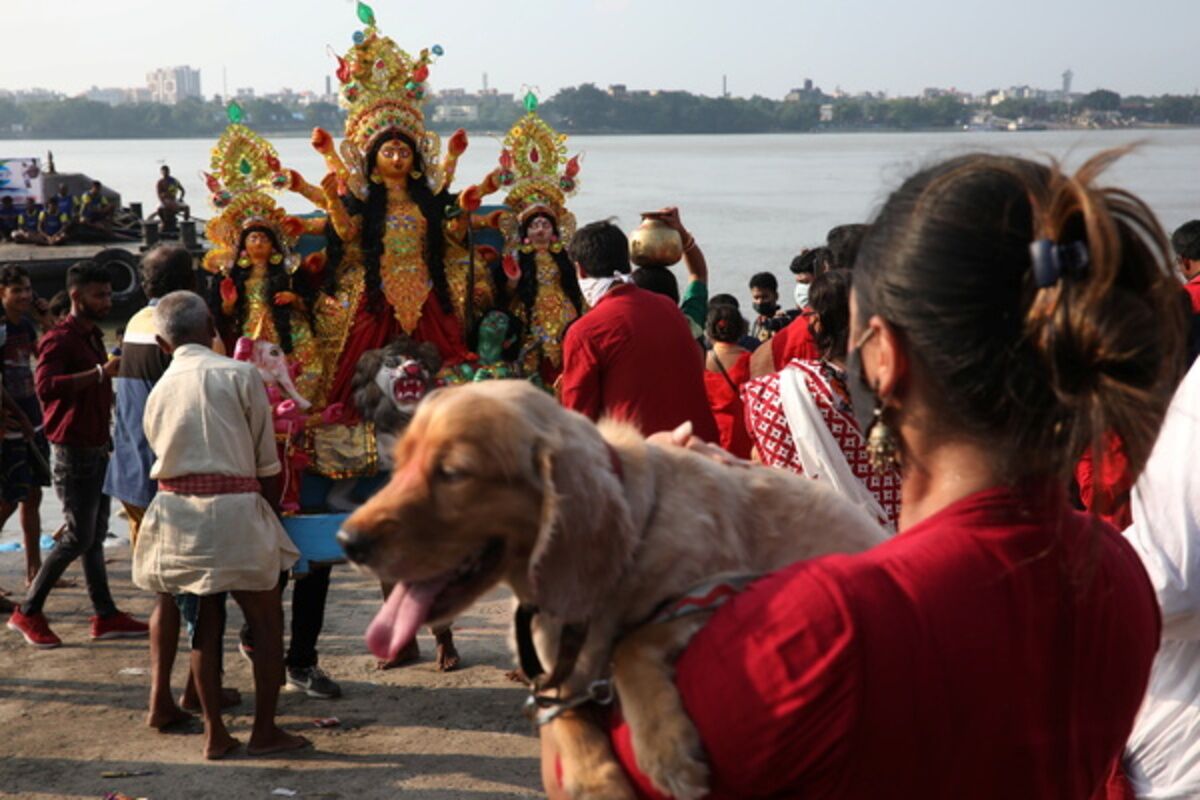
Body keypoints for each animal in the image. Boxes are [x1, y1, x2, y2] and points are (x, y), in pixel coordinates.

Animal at [343, 381, 888, 800]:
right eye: (398, 465)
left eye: (453, 473)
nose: (347, 542)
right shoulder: (554, 680)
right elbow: (563, 721)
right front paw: (597, 781)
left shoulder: (722, 588)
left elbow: (631, 641)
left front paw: (667, 753)